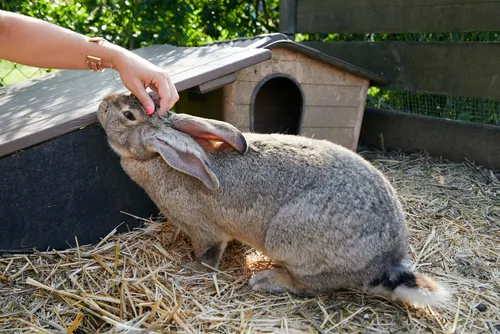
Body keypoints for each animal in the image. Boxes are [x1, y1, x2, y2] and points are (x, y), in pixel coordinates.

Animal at [96, 92, 450, 306]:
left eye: (128, 115)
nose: (102, 103)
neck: (156, 158)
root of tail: (385, 261)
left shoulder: (203, 230)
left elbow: (208, 254)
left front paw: (192, 268)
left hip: (290, 239)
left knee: (314, 285)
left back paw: (267, 279)